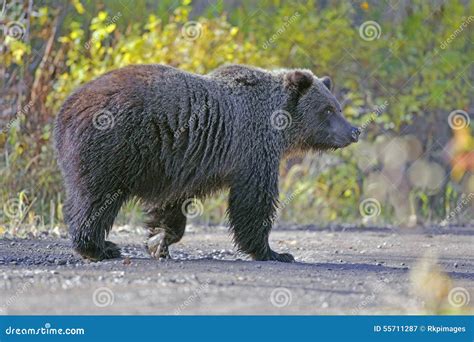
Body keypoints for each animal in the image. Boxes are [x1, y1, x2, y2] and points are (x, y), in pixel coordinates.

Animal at [54, 64, 360, 262]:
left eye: (338, 107)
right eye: (327, 110)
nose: (354, 131)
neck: (279, 124)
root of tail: (66, 106)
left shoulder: (181, 162)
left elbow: (171, 205)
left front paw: (158, 241)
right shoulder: (253, 149)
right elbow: (254, 201)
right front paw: (274, 252)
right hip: (111, 147)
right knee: (95, 198)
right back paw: (99, 247)